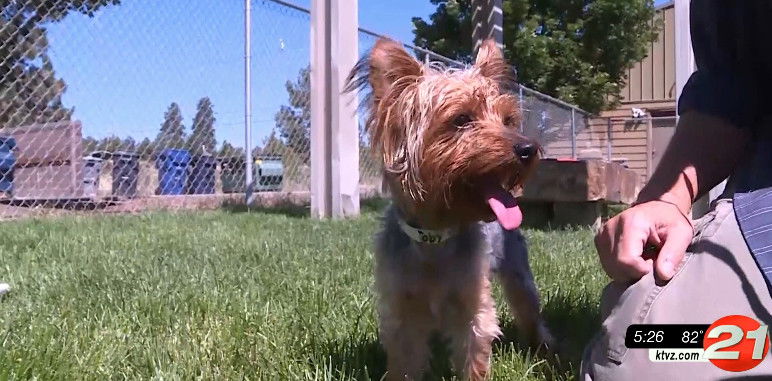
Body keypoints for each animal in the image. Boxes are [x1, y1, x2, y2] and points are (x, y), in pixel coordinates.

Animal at [346, 37, 552, 378]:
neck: (435, 235)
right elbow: (405, 360)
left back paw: (545, 348)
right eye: (461, 119)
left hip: (518, 271)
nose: (528, 149)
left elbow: (474, 354)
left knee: (529, 310)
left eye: (508, 120)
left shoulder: (472, 302)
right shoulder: (402, 306)